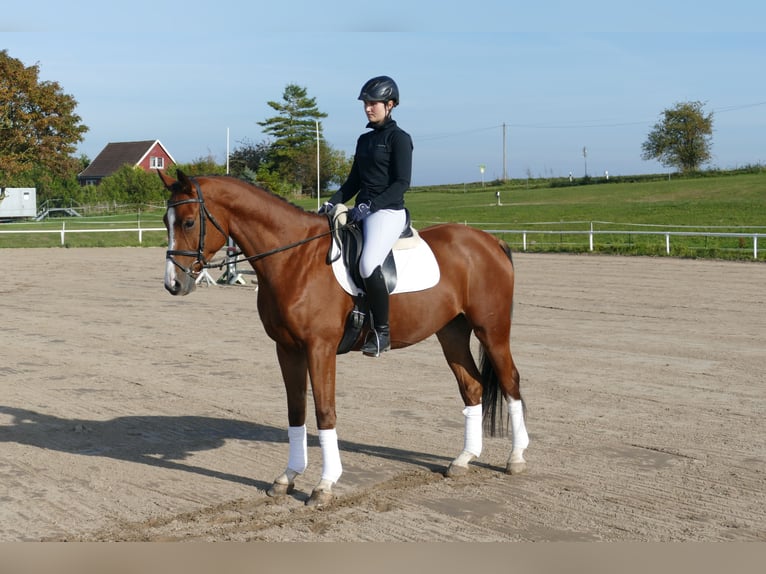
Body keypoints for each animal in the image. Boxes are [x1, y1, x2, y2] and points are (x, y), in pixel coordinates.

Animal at [160, 171, 536, 508]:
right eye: (166, 221)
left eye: (189, 222)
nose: (173, 284)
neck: (295, 259)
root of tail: (489, 240)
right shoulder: (287, 349)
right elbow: (296, 410)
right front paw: (288, 477)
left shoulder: (320, 348)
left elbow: (325, 412)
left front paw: (324, 486)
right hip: (452, 332)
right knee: (472, 386)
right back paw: (463, 459)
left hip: (492, 330)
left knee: (510, 381)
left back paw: (516, 458)